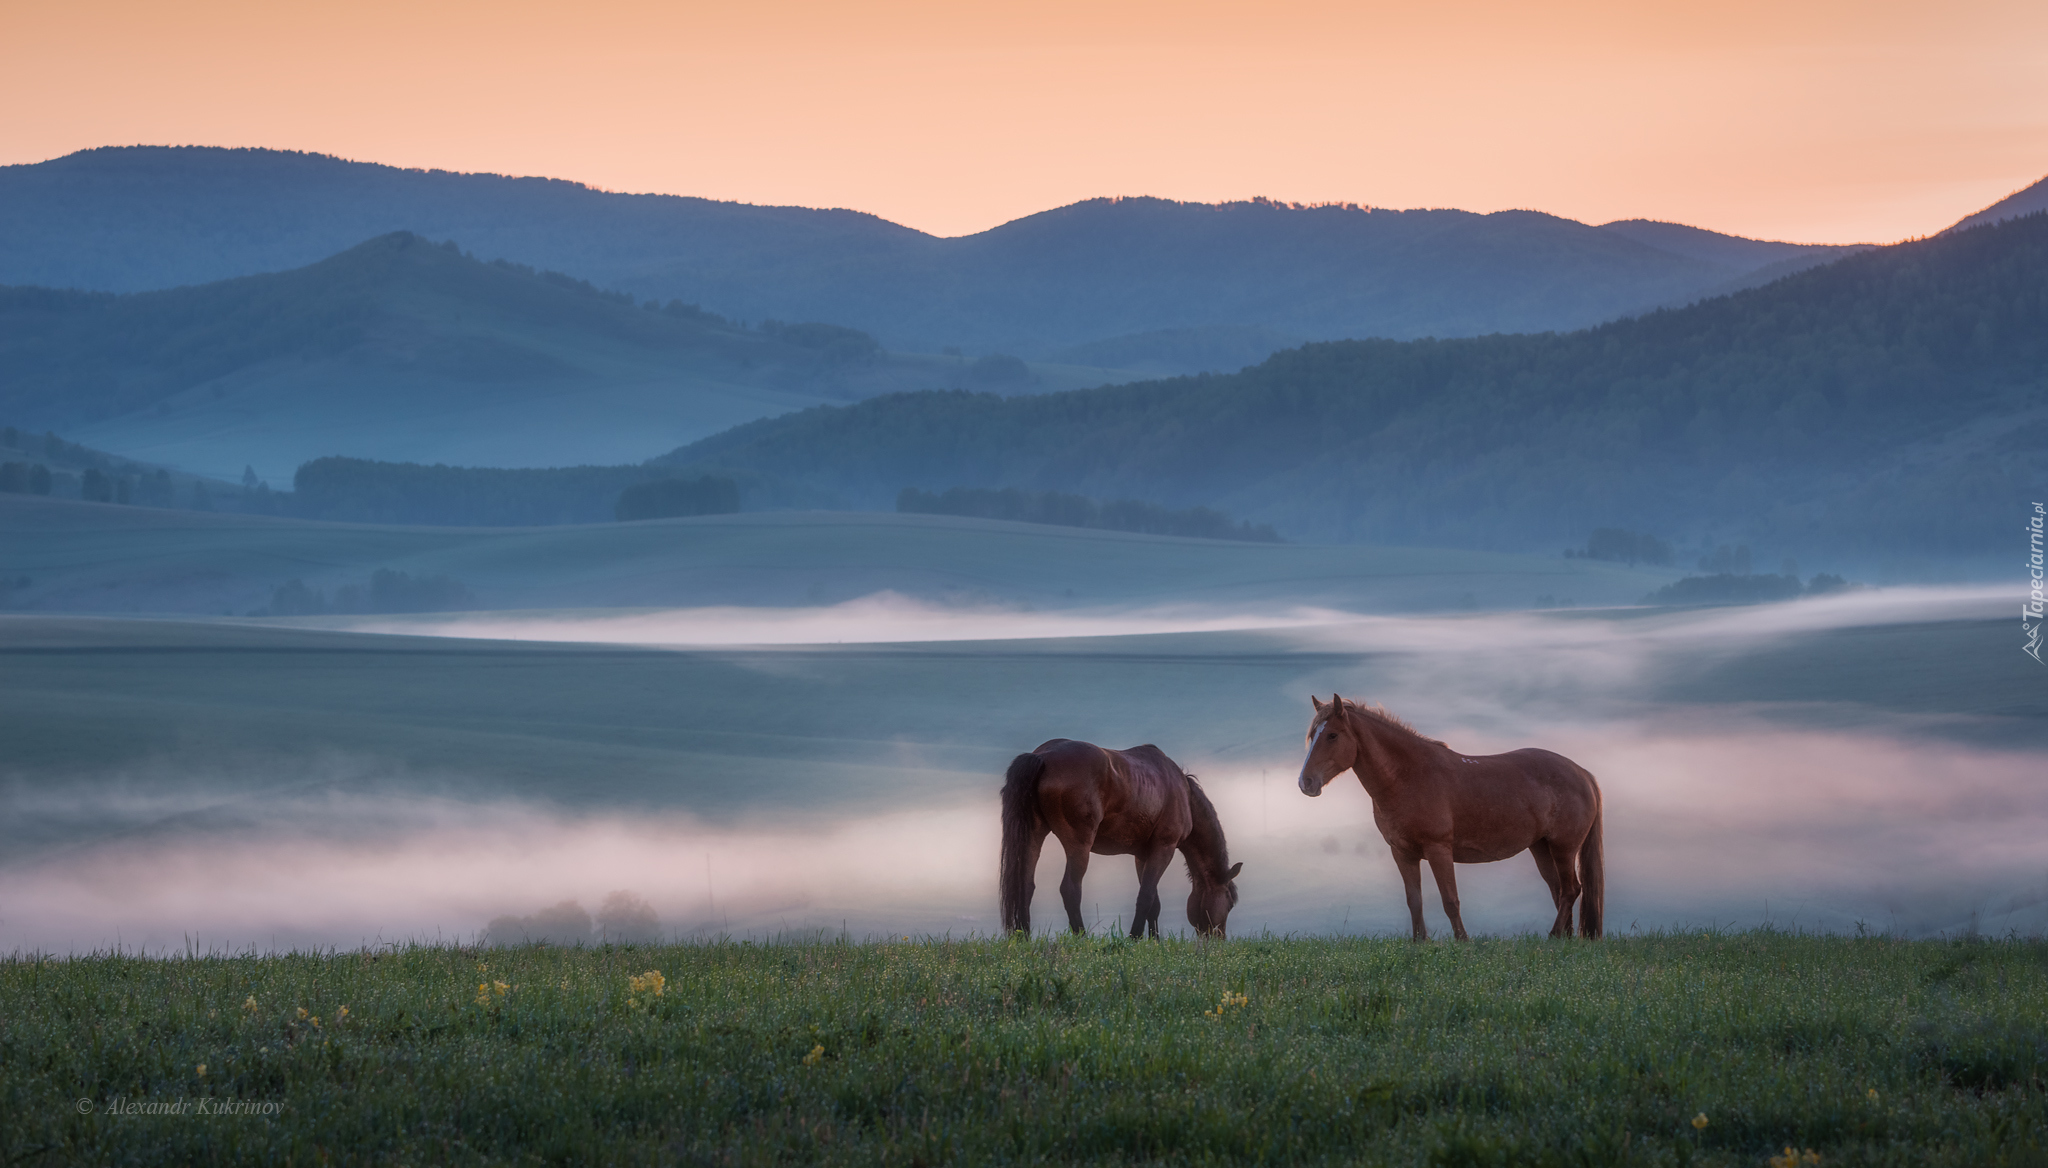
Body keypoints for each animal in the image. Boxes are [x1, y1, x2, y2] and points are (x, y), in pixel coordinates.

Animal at [999, 737, 1236, 938]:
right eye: (1230, 901)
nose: (1219, 938)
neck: (1184, 794)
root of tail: (1044, 756)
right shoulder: (1164, 848)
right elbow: (1146, 897)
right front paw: (1135, 938)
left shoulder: (1143, 855)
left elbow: (1154, 903)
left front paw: (1154, 941)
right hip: (1079, 845)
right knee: (1070, 889)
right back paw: (1082, 938)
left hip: (1033, 836)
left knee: (1025, 886)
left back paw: (1024, 938)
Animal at [1294, 692, 1597, 938]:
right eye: (1312, 736)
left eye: (1332, 735)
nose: (1305, 783)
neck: (1408, 777)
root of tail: (1582, 773)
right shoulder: (1402, 853)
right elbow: (1414, 901)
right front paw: (1420, 943)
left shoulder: (1439, 849)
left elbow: (1450, 900)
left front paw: (1463, 943)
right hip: (1542, 848)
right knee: (1559, 890)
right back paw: (1564, 939)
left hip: (1563, 848)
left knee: (1571, 889)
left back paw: (1553, 937)